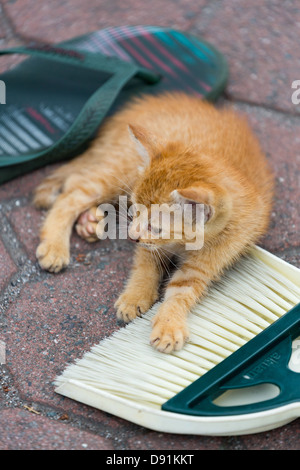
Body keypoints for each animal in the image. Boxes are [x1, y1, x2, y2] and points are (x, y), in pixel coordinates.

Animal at [34, 92, 274, 352]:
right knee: (72, 192)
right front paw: (136, 295)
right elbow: (145, 265)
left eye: (155, 227)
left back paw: (88, 222)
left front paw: (169, 322)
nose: (130, 236)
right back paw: (55, 246)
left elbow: (182, 289)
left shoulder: (212, 258)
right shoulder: (148, 245)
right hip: (117, 170)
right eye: (135, 209)